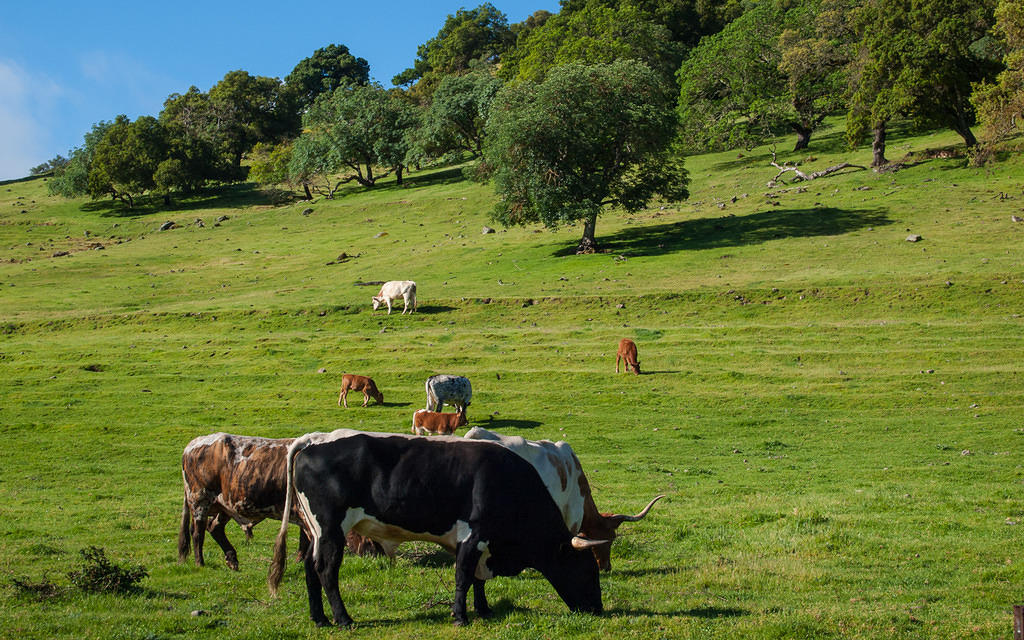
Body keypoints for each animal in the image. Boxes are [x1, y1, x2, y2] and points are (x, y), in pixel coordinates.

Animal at [268, 425, 602, 626]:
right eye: (588, 570)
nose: (597, 609)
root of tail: (316, 439)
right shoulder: (474, 535)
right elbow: (464, 577)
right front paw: (460, 616)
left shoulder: (476, 542)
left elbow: (477, 580)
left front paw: (483, 609)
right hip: (332, 529)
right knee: (326, 571)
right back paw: (343, 618)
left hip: (318, 532)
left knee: (310, 568)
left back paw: (319, 618)